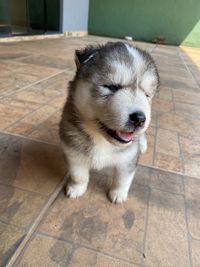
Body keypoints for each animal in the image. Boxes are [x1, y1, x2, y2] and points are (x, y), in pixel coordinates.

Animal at [59, 42, 159, 204]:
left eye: (146, 94)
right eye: (112, 87)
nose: (139, 118)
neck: (102, 139)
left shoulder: (128, 158)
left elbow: (123, 179)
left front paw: (118, 194)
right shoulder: (73, 152)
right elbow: (78, 175)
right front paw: (76, 188)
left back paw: (143, 145)